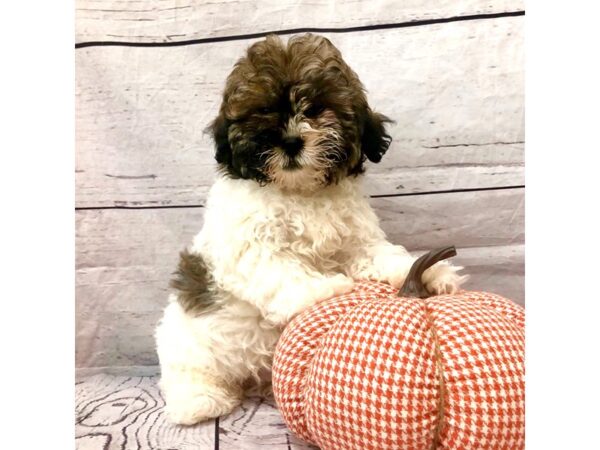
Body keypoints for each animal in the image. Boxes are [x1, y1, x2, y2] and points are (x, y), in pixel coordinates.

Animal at [154, 33, 464, 424]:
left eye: (317, 109)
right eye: (263, 111)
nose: (290, 141)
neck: (300, 191)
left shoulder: (356, 240)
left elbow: (381, 254)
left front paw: (430, 272)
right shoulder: (248, 243)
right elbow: (281, 270)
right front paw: (324, 290)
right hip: (188, 344)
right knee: (187, 373)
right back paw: (200, 400)